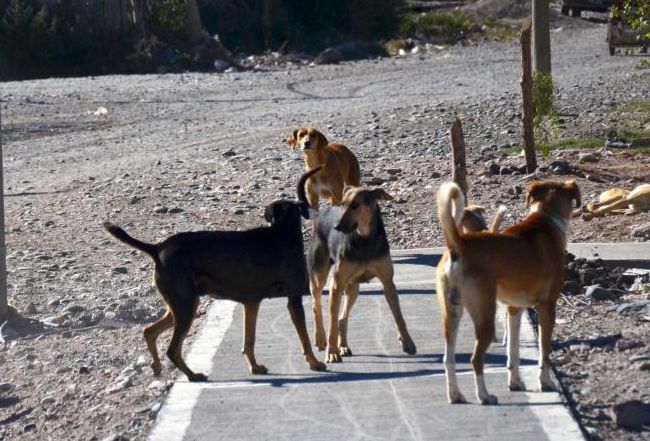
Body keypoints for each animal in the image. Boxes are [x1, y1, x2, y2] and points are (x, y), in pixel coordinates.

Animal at [105, 167, 324, 380]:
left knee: (149, 331)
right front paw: (314, 362)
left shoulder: (252, 302)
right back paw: (193, 375)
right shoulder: (293, 298)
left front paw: (254, 366)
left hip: (182, 304)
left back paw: (157, 366)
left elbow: (249, 340)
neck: (283, 233)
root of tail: (158, 248)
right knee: (172, 349)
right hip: (185, 305)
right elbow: (304, 337)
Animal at [436, 180, 576, 404]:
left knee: (448, 359)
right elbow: (544, 353)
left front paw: (515, 383)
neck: (545, 218)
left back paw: (456, 395)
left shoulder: (514, 309)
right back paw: (484, 396)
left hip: (451, 314)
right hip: (485, 315)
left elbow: (513, 352)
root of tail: (459, 245)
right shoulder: (547, 309)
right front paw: (545, 382)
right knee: (476, 360)